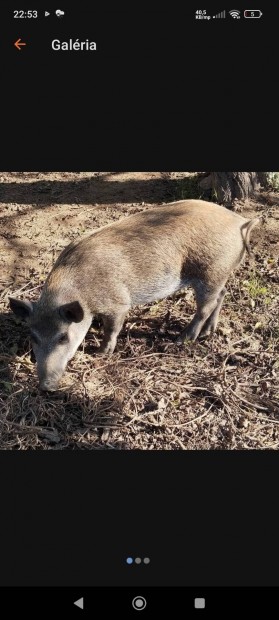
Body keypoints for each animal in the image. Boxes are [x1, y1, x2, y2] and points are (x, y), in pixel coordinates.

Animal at [9, 201, 262, 390]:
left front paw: (101, 353)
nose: (45, 387)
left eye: (63, 337)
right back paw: (207, 333)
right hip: (219, 276)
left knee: (205, 307)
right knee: (221, 296)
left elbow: (112, 329)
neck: (82, 294)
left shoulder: (119, 303)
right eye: (33, 336)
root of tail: (239, 221)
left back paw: (182, 339)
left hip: (210, 272)